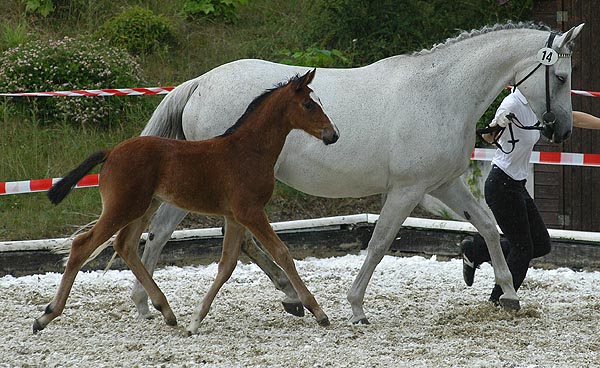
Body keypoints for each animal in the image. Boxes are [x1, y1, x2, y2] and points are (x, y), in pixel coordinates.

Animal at [36, 69, 338, 336]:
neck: (248, 150)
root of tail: (111, 152)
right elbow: (282, 253)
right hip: (122, 208)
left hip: (142, 207)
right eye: (309, 104)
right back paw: (46, 315)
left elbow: (227, 265)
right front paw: (318, 311)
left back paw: (166, 310)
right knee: (82, 246)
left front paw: (195, 321)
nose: (332, 134)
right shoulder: (250, 212)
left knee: (125, 245)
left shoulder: (235, 216)